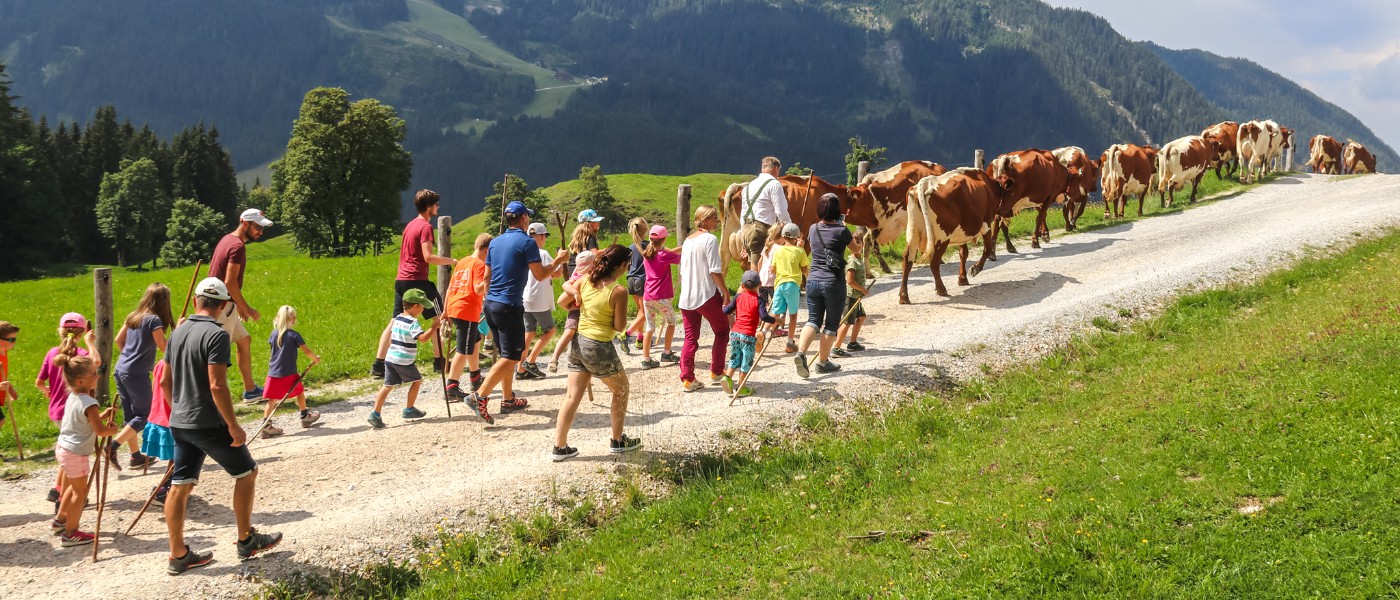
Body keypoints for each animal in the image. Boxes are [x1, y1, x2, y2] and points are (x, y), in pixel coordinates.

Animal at [901, 165, 1013, 302]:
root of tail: (925, 183)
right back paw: (941, 289)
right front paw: (975, 269)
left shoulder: (962, 232)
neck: (990, 186)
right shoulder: (985, 224)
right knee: (934, 262)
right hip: (942, 238)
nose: (1010, 212)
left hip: (913, 234)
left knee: (907, 261)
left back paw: (904, 296)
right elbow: (987, 249)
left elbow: (963, 253)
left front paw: (962, 278)